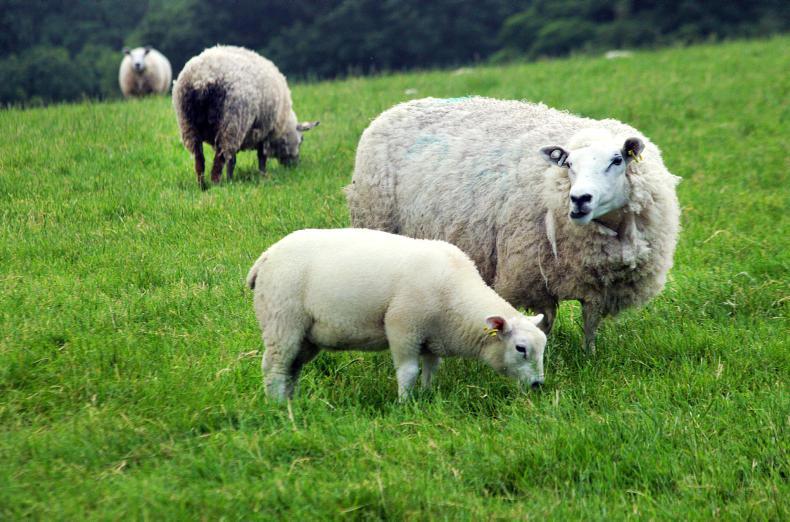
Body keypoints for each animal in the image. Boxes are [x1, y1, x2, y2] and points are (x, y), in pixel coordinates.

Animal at [172, 45, 319, 189]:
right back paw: (217, 184)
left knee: (199, 159)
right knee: (220, 159)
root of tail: (202, 77)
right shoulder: (264, 130)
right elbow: (261, 157)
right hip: (232, 122)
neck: (283, 123)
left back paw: (202, 186)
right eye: (302, 140)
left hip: (189, 125)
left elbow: (235, 159)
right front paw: (262, 176)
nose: (295, 165)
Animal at [246, 228, 547, 401]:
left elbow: (430, 369)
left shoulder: (431, 336)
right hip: (282, 320)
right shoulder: (403, 326)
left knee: (292, 368)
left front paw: (426, 395)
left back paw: (291, 403)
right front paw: (404, 404)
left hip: (306, 335)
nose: (537, 385)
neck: (456, 297)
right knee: (274, 367)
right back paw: (277, 407)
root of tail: (266, 256)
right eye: (520, 348)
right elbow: (408, 372)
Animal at [346, 97, 681, 354]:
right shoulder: (533, 275)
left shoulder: (598, 282)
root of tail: (396, 108)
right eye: (569, 164)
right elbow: (546, 321)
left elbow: (591, 322)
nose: (579, 200)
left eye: (617, 160)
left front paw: (590, 356)